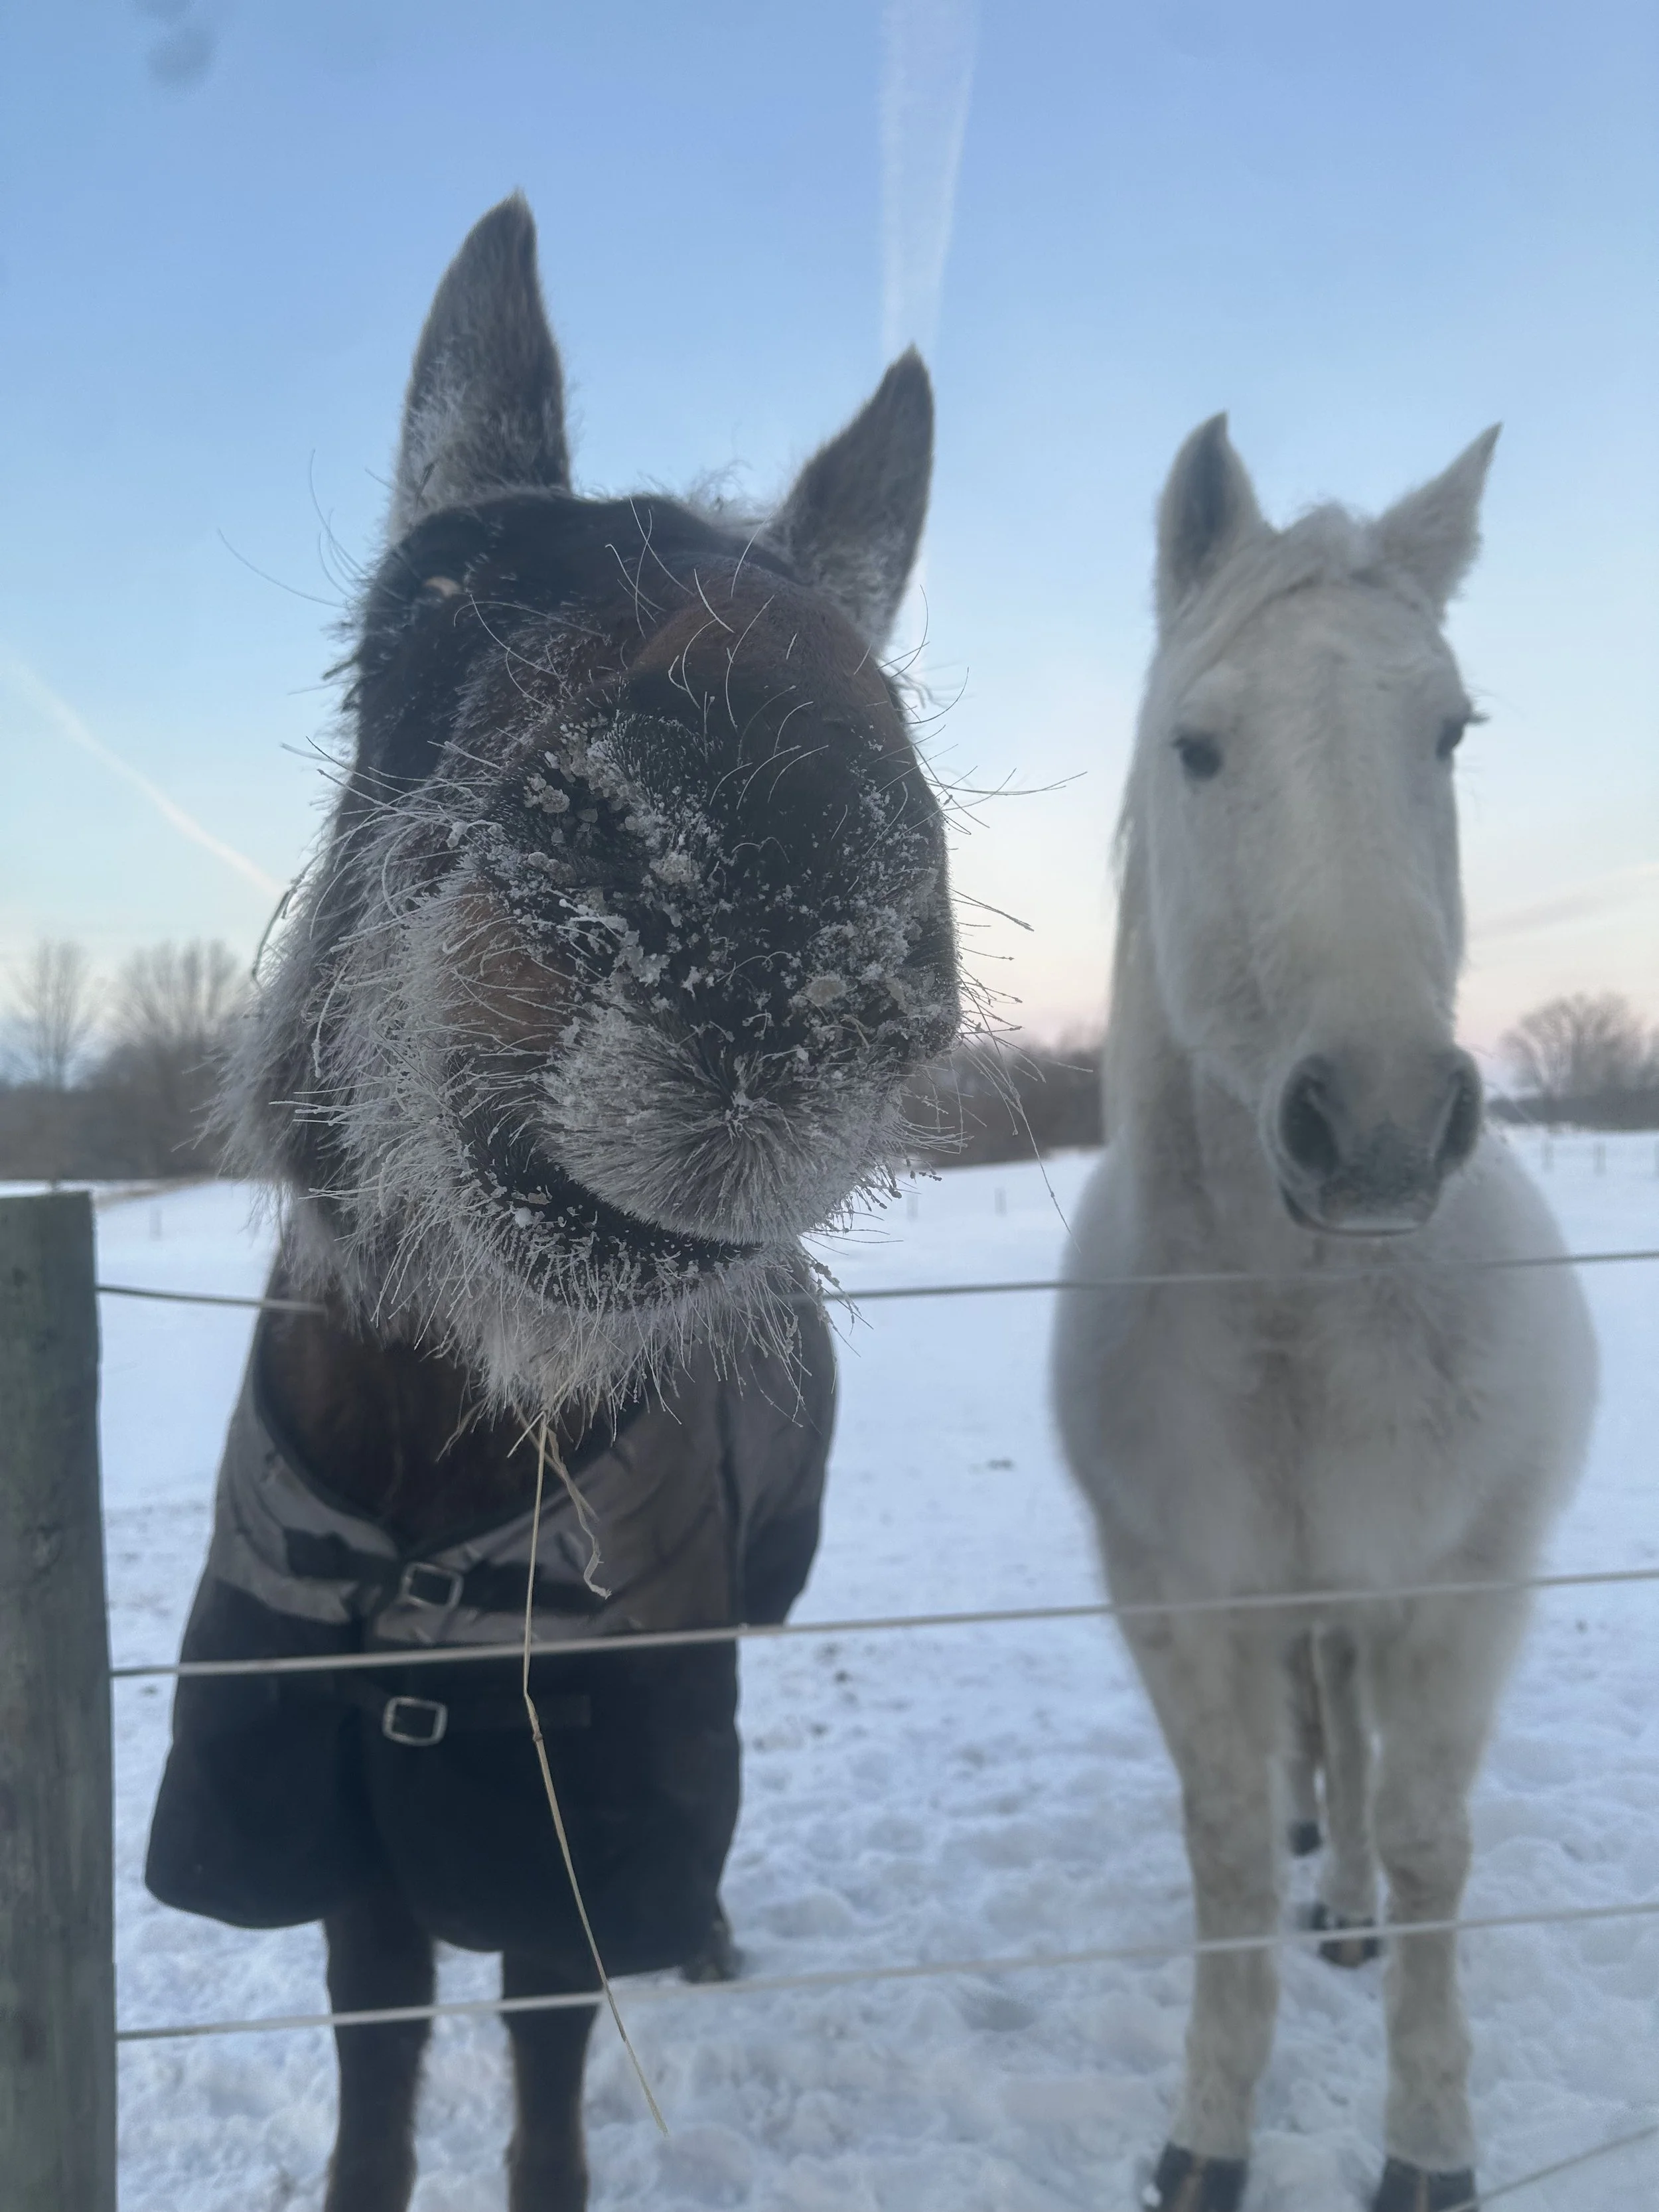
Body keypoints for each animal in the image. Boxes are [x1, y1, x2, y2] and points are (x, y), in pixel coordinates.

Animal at [145, 195, 960, 2211]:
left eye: (875, 664)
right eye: (401, 628)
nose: (764, 887)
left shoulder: (568, 1847)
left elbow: (544, 2104)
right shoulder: (346, 1842)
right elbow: (374, 2105)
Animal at [1051, 418, 1596, 2212]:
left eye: (1447, 731)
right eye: (1196, 748)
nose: (1376, 1126)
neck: (1301, 1326)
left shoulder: (1461, 1589)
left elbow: (1429, 1842)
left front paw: (1427, 2145)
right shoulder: (1185, 1602)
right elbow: (1226, 1850)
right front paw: (1204, 2139)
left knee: (1357, 1766)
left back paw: (1350, 1911)